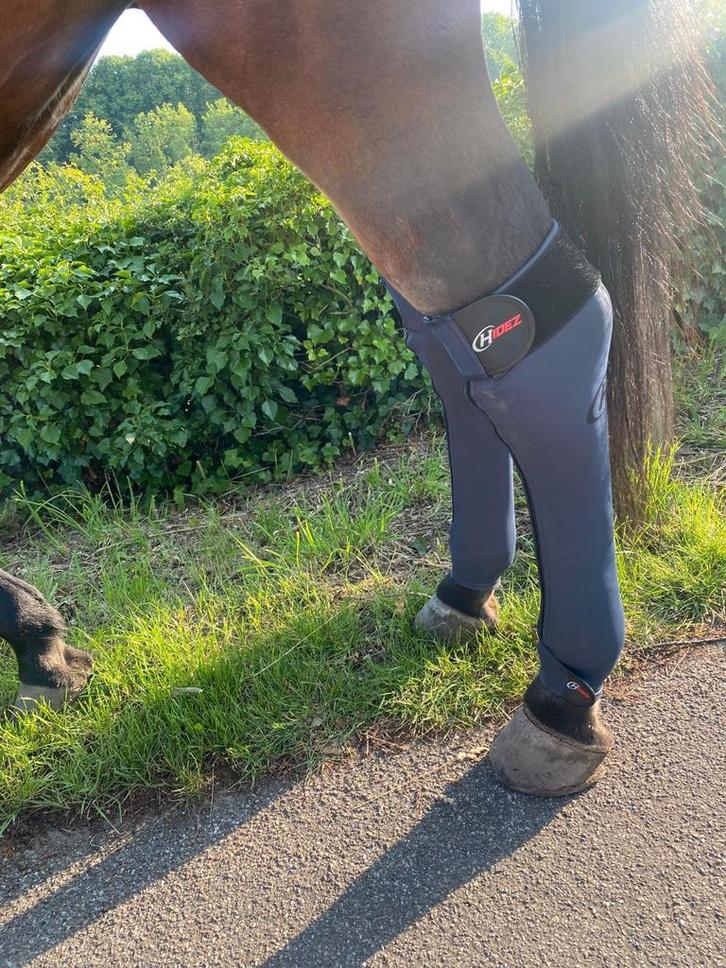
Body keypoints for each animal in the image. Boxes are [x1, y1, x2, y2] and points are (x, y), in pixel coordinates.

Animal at [0, 1, 710, 794]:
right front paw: (44, 648)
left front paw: (43, 651)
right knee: (448, 343)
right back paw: (468, 590)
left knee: (535, 328)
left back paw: (563, 696)